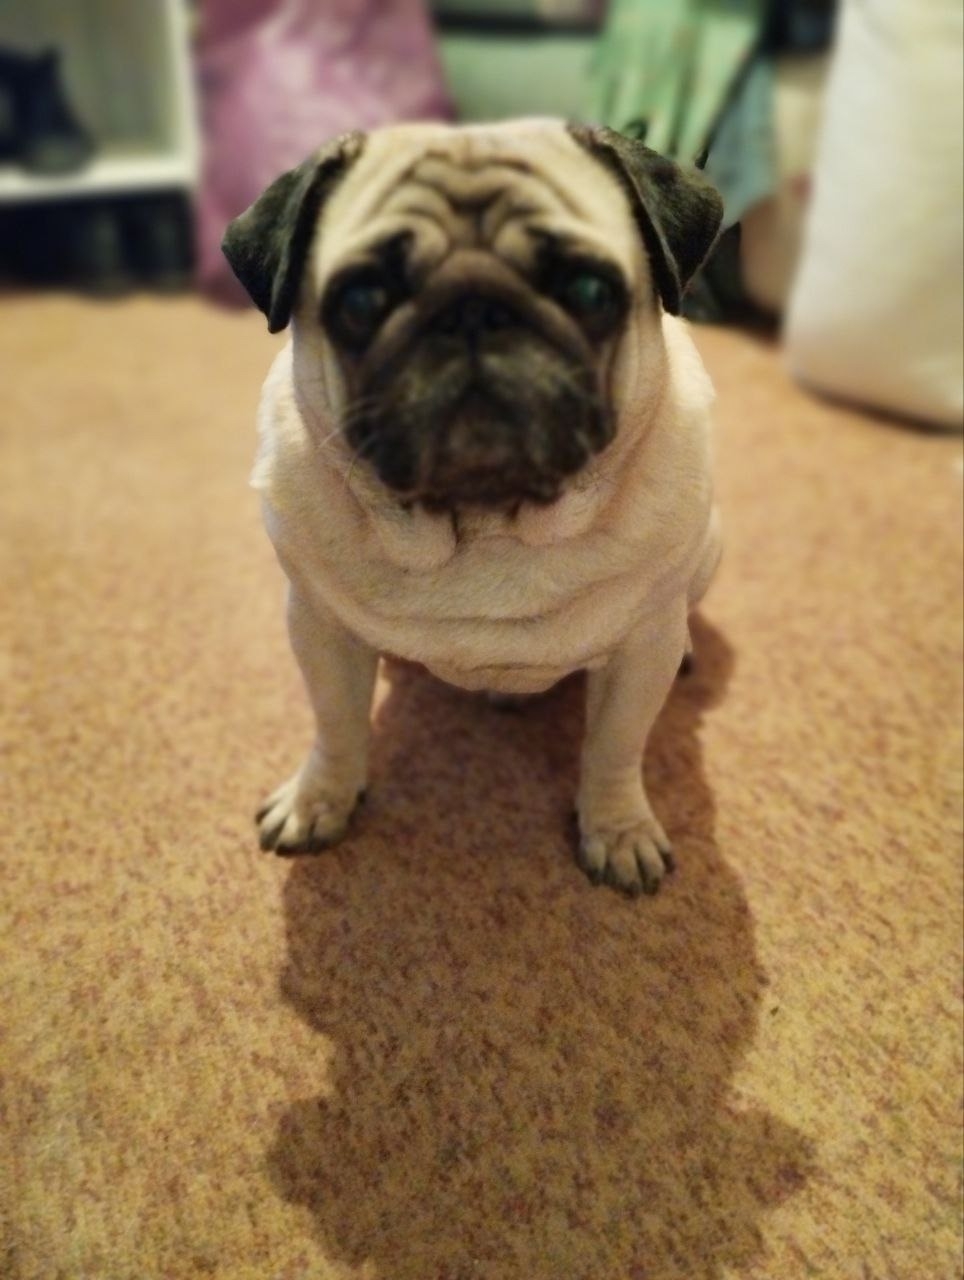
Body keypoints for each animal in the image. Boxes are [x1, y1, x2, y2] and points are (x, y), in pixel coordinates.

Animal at [222, 119, 724, 896]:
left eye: (589, 290)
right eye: (361, 301)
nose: (472, 310)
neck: (485, 524)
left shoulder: (640, 656)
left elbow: (615, 748)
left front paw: (618, 830)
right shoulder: (319, 630)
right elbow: (335, 725)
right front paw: (319, 800)